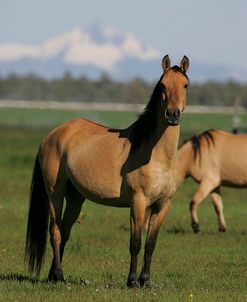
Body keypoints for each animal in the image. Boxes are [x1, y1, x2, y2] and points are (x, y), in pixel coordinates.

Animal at [24, 54, 189, 288]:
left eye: (185, 85)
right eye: (163, 85)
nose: (173, 114)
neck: (158, 156)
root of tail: (52, 135)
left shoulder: (163, 205)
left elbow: (150, 244)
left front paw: (146, 281)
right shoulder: (138, 202)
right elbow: (135, 242)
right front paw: (132, 281)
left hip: (76, 197)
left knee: (65, 231)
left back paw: (52, 276)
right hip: (55, 192)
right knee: (55, 231)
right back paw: (59, 275)